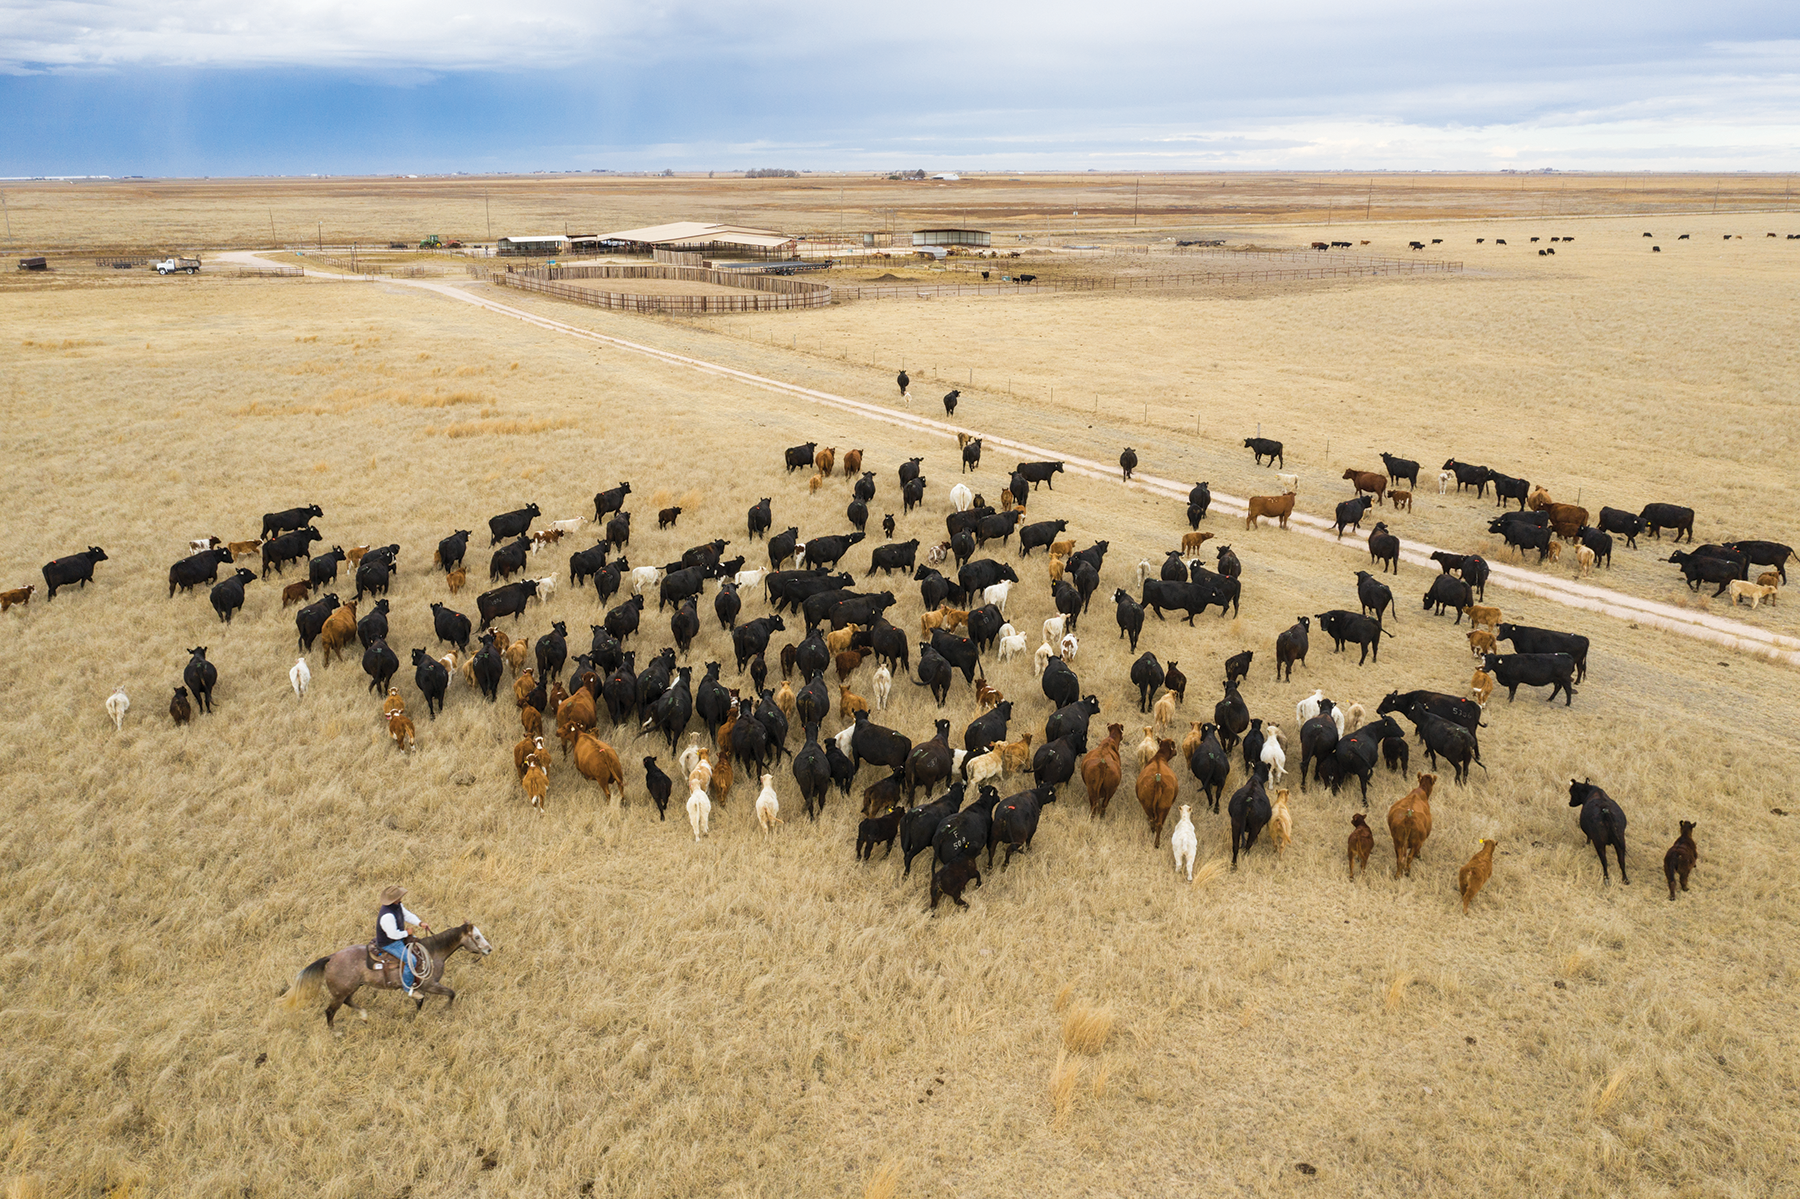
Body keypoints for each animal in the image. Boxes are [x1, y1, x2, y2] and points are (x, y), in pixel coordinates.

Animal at [284, 914, 493, 1015]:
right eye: (476, 937)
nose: (489, 949)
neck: (432, 952)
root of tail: (332, 957)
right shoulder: (430, 985)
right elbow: (451, 993)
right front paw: (445, 1010)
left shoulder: (422, 987)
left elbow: (420, 1001)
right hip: (341, 991)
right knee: (330, 1011)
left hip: (349, 988)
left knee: (347, 1002)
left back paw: (364, 1015)